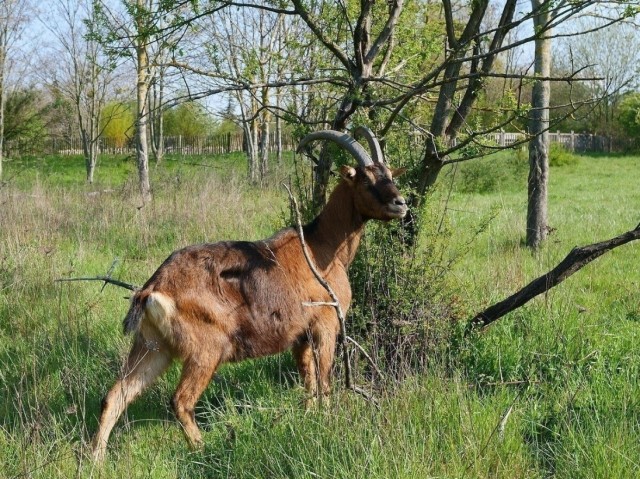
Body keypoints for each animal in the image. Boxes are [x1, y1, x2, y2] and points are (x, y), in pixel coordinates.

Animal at [89, 127, 404, 462]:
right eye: (366, 180)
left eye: (389, 174)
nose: (401, 203)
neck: (321, 246)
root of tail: (153, 288)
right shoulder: (325, 324)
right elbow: (324, 382)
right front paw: (328, 421)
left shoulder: (299, 337)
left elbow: (308, 382)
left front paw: (309, 418)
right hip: (205, 350)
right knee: (180, 401)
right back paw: (206, 451)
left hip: (154, 347)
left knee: (115, 396)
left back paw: (97, 460)